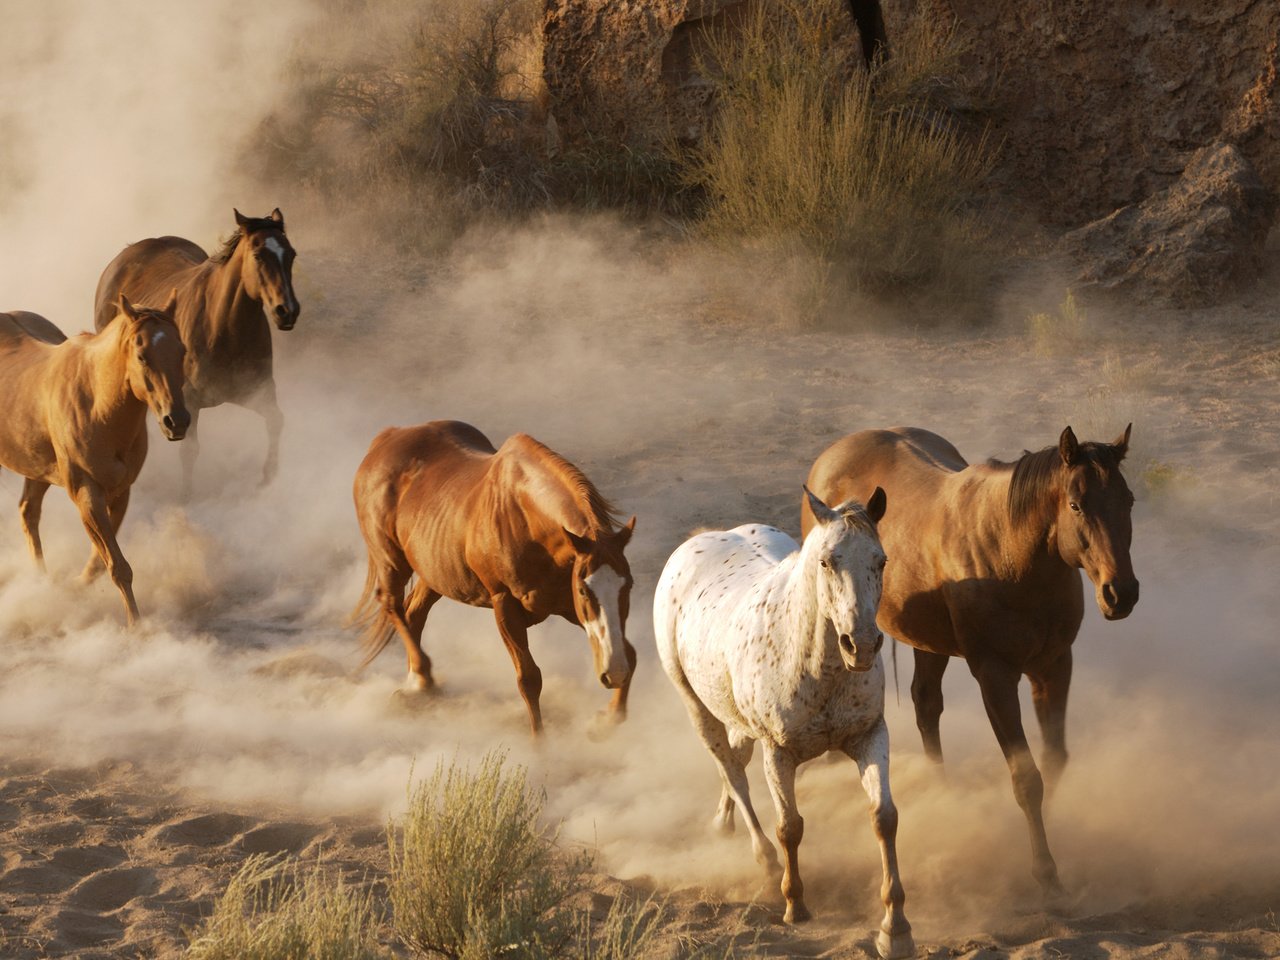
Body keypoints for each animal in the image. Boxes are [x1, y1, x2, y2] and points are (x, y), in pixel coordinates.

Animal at [0, 296, 186, 627]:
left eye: (182, 350)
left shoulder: (120, 492)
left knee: (28, 513)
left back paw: (41, 581)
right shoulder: (86, 494)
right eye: (142, 356)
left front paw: (74, 587)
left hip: (36, 468)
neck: (97, 405)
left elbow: (101, 563)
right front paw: (136, 627)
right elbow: (117, 566)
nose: (176, 421)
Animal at [94, 208, 299, 496]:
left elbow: (276, 421)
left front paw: (269, 478)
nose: (287, 311)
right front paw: (187, 495)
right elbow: (189, 451)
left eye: (291, 254)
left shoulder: (258, 391)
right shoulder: (187, 401)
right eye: (258, 255)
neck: (224, 328)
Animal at [350, 419, 634, 737]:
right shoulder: (506, 606)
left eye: (628, 586)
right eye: (585, 590)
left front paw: (606, 720)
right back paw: (422, 678)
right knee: (391, 604)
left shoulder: (567, 606)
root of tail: (387, 438)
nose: (613, 672)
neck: (526, 520)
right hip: (391, 560)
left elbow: (630, 653)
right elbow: (529, 678)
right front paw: (540, 744)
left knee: (414, 613)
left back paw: (416, 685)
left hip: (433, 573)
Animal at [655, 491, 916, 957]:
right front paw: (796, 905)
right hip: (697, 707)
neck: (816, 664)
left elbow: (884, 818)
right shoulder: (778, 754)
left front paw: (895, 928)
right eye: (827, 561)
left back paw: (722, 823)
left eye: (881, 560)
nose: (862, 645)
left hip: (735, 718)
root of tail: (698, 541)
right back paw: (763, 859)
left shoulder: (870, 736)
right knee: (733, 774)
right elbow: (789, 827)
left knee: (735, 762)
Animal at [798, 424, 1141, 901]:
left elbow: (1054, 760)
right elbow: (1026, 777)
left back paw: (944, 792)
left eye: (1128, 501)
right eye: (1076, 504)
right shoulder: (995, 677)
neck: (1013, 557)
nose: (1121, 593)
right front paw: (1044, 870)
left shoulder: (1054, 667)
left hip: (928, 642)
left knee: (926, 705)